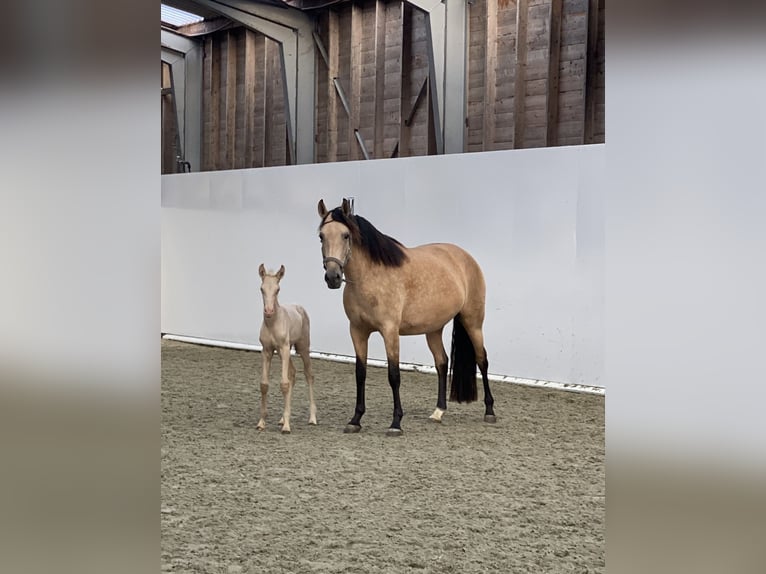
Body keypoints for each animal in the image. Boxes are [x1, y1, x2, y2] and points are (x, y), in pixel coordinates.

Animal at [258, 264, 318, 434]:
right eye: (262, 289)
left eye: (277, 289)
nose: (269, 311)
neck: (273, 323)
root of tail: (299, 307)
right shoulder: (267, 350)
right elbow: (264, 385)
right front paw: (261, 423)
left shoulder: (284, 348)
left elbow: (284, 384)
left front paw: (286, 427)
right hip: (283, 351)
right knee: (292, 373)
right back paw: (282, 418)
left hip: (302, 347)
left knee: (308, 375)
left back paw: (312, 418)